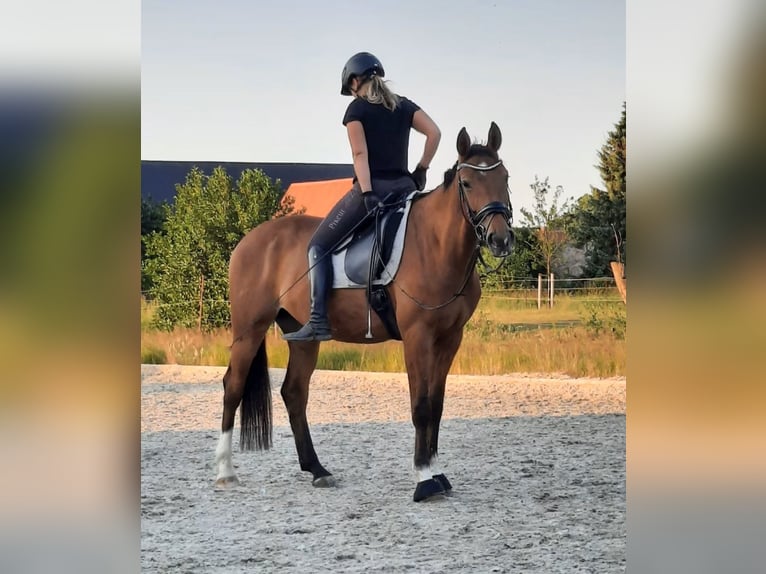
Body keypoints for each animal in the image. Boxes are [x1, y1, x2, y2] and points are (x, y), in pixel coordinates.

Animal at [215, 122, 514, 502]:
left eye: (504, 177)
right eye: (468, 183)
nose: (500, 239)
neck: (435, 245)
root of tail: (249, 240)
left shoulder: (449, 338)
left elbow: (437, 405)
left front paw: (437, 471)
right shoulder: (417, 337)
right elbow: (421, 406)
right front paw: (424, 477)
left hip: (303, 335)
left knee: (294, 393)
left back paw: (317, 469)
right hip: (249, 329)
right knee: (234, 386)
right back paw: (225, 471)